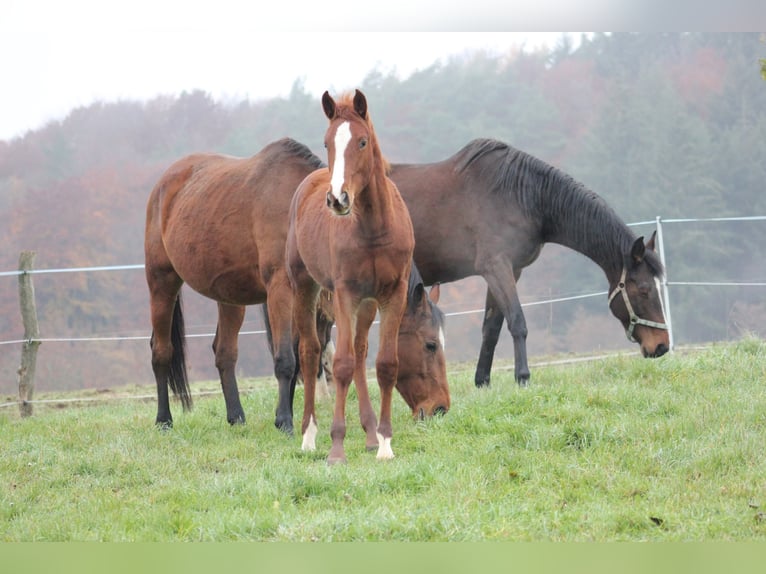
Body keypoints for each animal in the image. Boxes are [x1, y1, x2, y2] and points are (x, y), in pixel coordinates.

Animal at [144, 137, 450, 434]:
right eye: (430, 345)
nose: (440, 408)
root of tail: (163, 184)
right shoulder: (281, 291)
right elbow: (285, 359)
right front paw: (285, 421)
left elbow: (301, 354)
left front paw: (292, 416)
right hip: (162, 281)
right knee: (161, 351)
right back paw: (163, 420)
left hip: (230, 297)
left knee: (225, 353)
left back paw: (236, 417)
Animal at [288, 91, 420, 468]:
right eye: (327, 142)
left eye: (362, 142)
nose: (337, 199)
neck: (373, 228)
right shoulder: (345, 294)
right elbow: (342, 364)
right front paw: (336, 449)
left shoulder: (392, 294)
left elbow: (386, 364)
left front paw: (386, 443)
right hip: (304, 287)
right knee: (310, 351)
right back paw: (308, 436)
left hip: (367, 303)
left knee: (361, 352)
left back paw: (371, 434)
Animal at [388, 139, 668, 390]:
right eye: (644, 290)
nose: (662, 345)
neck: (522, 196)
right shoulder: (497, 267)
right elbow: (517, 321)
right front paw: (522, 377)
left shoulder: (508, 271)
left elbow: (492, 328)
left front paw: (482, 382)